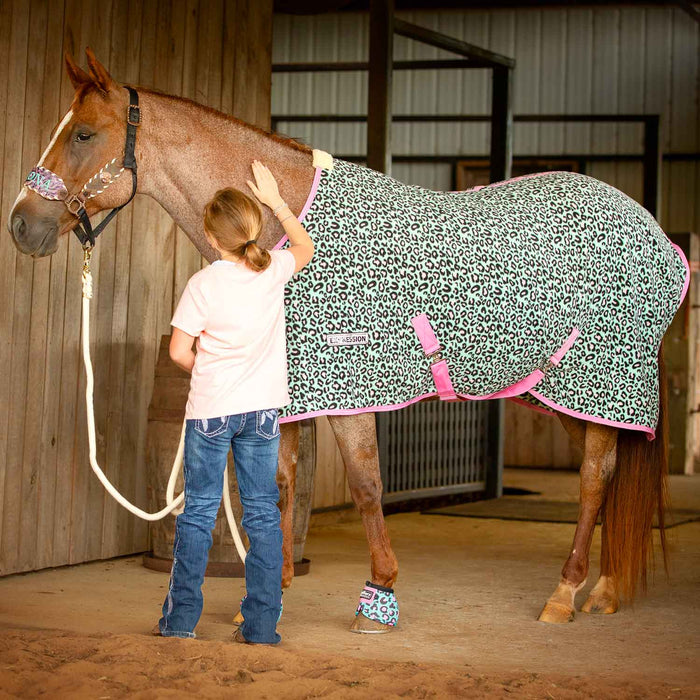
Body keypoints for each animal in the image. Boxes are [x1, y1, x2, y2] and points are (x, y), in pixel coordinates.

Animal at [8, 50, 687, 632]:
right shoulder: (288, 395)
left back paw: (564, 593)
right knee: (608, 476)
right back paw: (602, 588)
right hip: (564, 393)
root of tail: (657, 235)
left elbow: (365, 485)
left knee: (595, 477)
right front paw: (269, 593)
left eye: (83, 135)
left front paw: (379, 594)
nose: (21, 225)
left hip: (598, 383)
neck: (283, 227)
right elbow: (278, 485)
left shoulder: (349, 389)